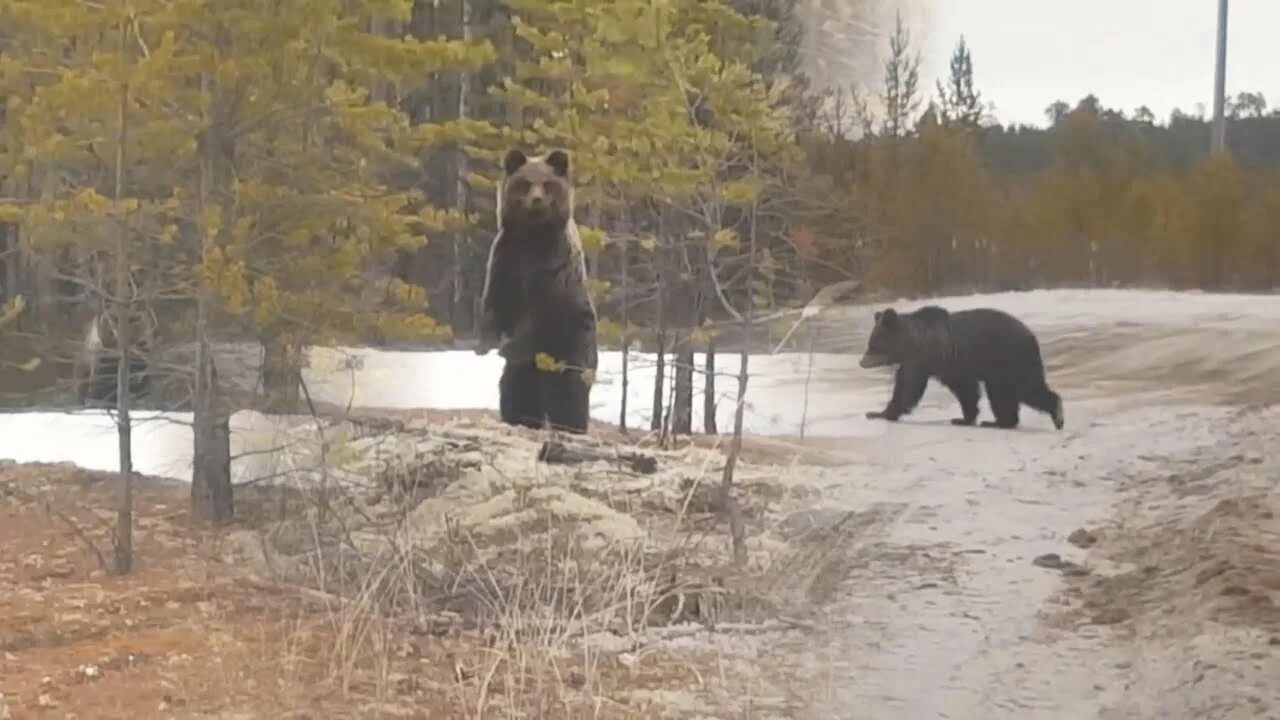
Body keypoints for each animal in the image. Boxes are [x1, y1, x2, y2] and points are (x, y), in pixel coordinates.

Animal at [476, 146, 599, 430]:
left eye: (548, 183)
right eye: (525, 182)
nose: (536, 200)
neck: (532, 237)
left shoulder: (552, 272)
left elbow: (538, 314)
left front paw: (508, 346)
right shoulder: (505, 260)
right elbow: (494, 303)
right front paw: (484, 345)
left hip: (573, 342)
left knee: (568, 388)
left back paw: (570, 424)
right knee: (515, 385)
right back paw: (521, 416)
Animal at [865, 303, 1064, 427]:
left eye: (874, 344)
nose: (862, 362)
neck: (912, 343)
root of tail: (1031, 335)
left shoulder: (927, 360)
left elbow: (909, 387)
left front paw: (880, 413)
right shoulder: (945, 366)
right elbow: (965, 390)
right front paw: (964, 418)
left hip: (1010, 360)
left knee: (1025, 387)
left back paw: (1056, 414)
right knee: (1004, 394)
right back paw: (1000, 422)